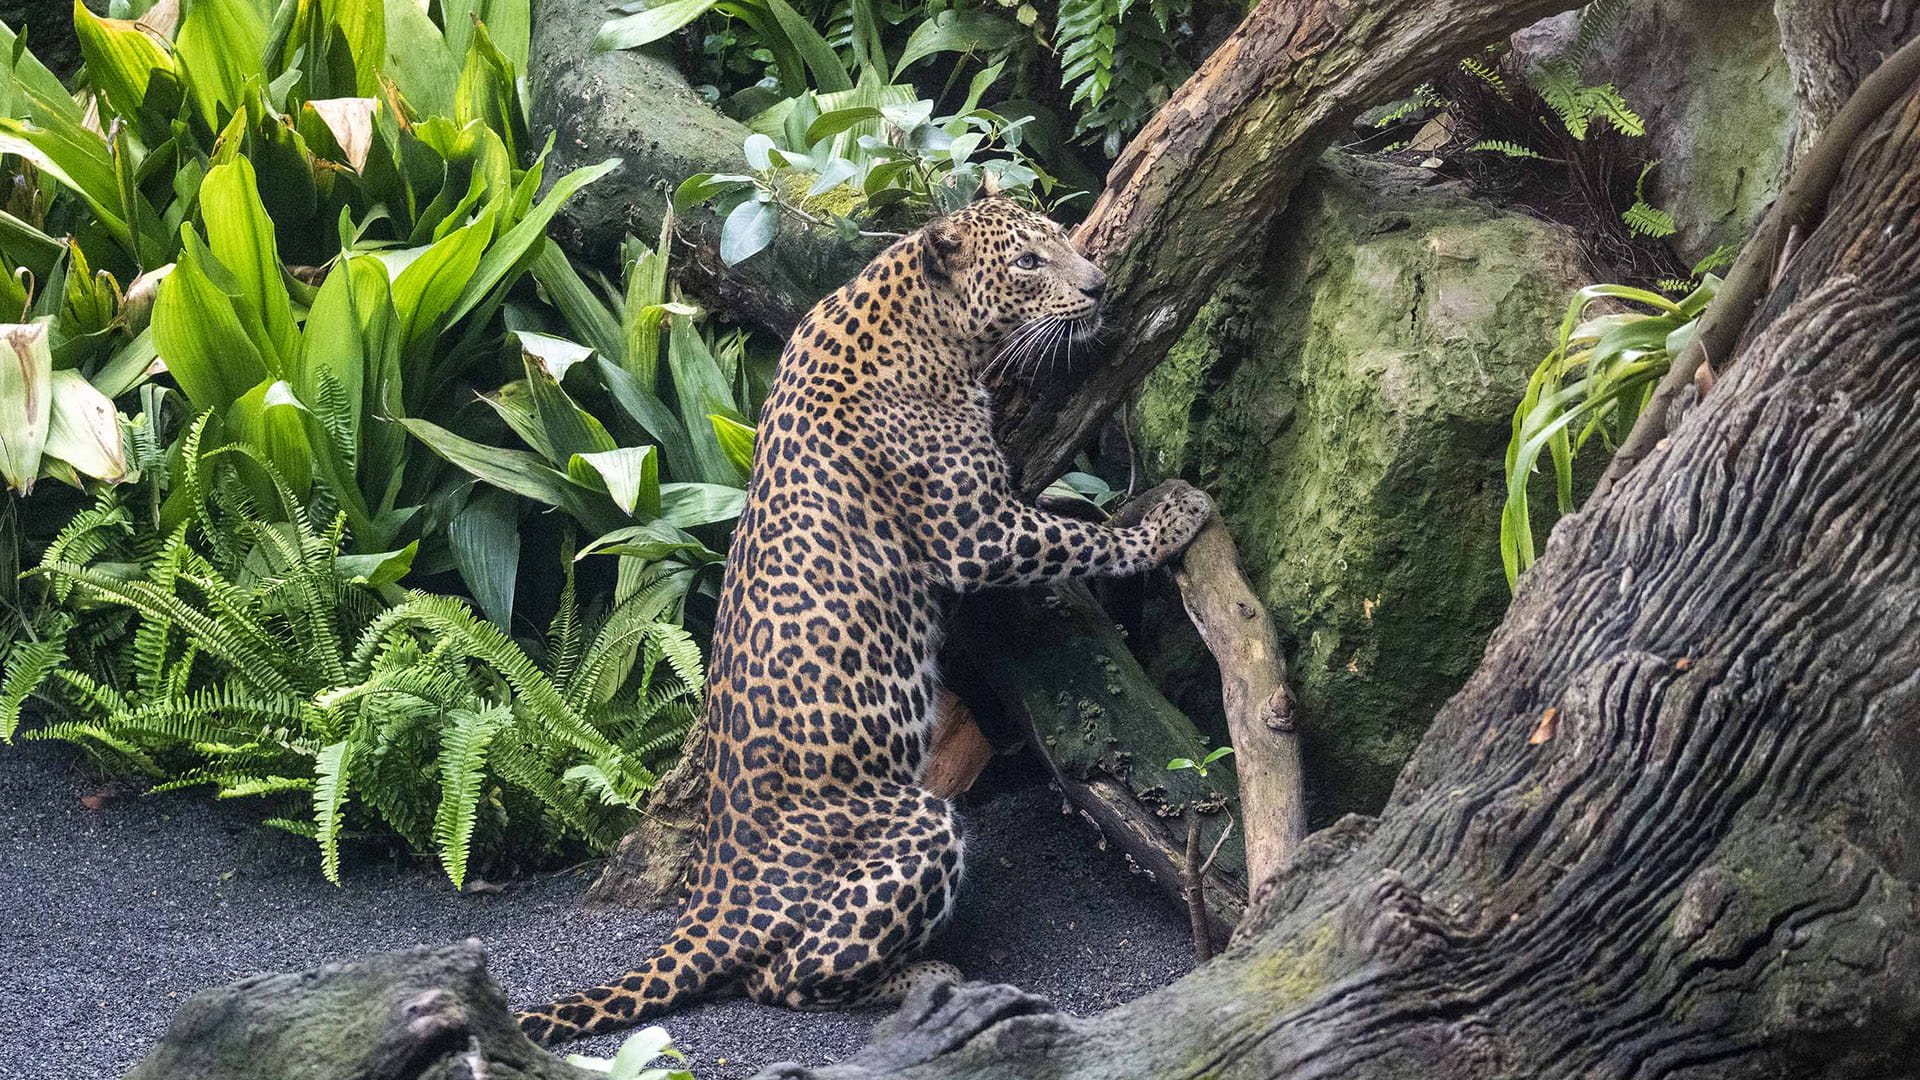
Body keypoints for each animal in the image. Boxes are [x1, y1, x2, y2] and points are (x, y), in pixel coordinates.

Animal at [514, 197, 1214, 1045]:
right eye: (1027, 263)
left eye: (1059, 235)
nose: (1100, 286)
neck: (918, 315)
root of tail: (716, 902)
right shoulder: (977, 535)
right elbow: (1080, 542)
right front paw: (1166, 522)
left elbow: (1070, 517)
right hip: (917, 823)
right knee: (779, 980)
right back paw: (924, 975)